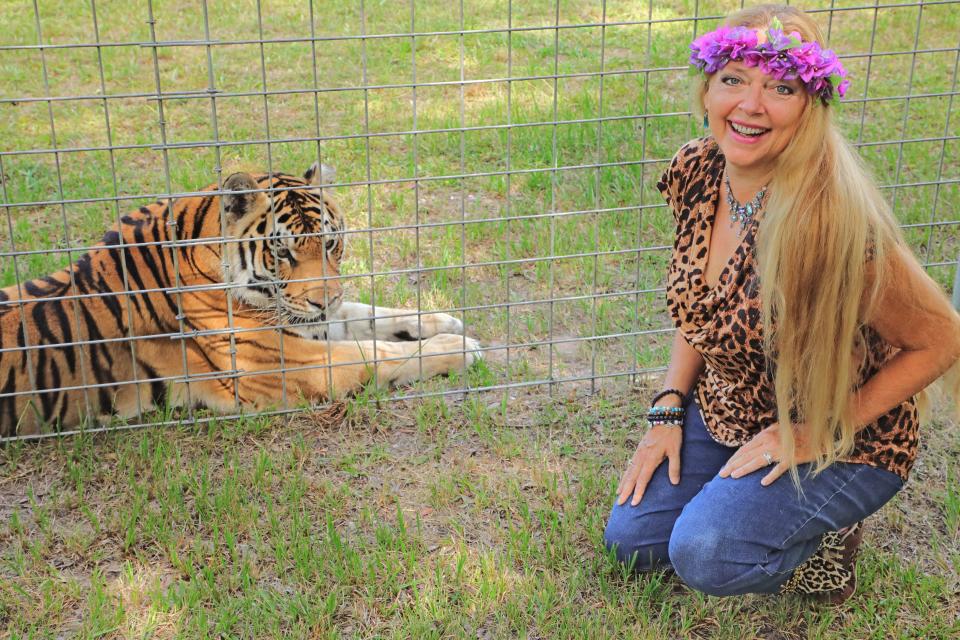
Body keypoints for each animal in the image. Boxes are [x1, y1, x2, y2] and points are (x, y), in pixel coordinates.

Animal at [0, 162, 480, 438]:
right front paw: (462, 347)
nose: (322, 302)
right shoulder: (280, 362)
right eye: (283, 253)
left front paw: (442, 321)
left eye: (330, 244)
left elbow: (368, 313)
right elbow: (376, 352)